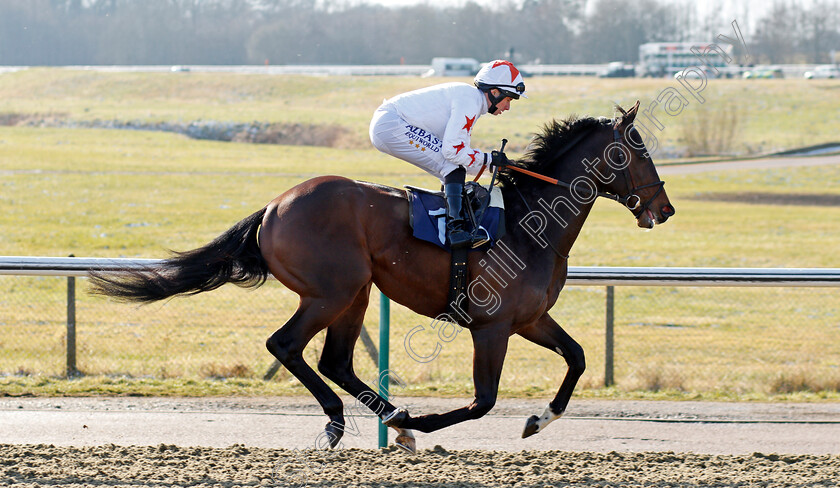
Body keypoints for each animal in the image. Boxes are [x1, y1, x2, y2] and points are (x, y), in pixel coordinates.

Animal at [88, 102, 672, 454]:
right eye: (639, 150)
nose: (663, 210)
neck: (533, 222)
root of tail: (275, 206)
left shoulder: (528, 319)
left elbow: (577, 357)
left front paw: (538, 420)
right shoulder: (492, 325)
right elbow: (482, 401)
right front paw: (423, 425)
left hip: (357, 293)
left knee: (335, 361)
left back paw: (390, 420)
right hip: (334, 290)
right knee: (287, 345)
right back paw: (349, 422)